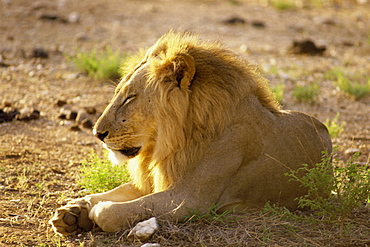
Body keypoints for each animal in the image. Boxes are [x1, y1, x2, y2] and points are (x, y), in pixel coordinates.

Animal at [49, 31, 332, 235]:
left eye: (130, 98)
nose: (97, 133)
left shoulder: (190, 199)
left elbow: (113, 211)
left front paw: (92, 213)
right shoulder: (154, 181)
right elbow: (112, 192)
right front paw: (72, 212)